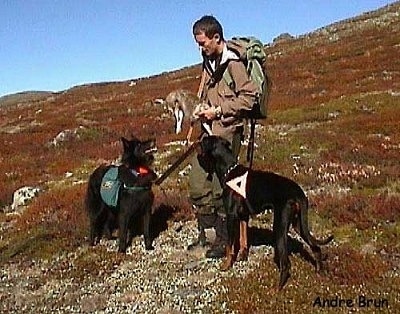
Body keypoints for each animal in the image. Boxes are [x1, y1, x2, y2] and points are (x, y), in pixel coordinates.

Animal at [198, 136, 334, 290]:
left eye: (203, 142)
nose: (197, 148)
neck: (229, 170)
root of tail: (298, 193)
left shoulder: (231, 216)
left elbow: (229, 246)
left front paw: (226, 265)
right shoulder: (244, 216)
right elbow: (244, 239)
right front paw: (243, 256)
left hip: (280, 226)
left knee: (286, 264)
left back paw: (277, 289)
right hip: (299, 224)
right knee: (316, 247)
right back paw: (319, 273)